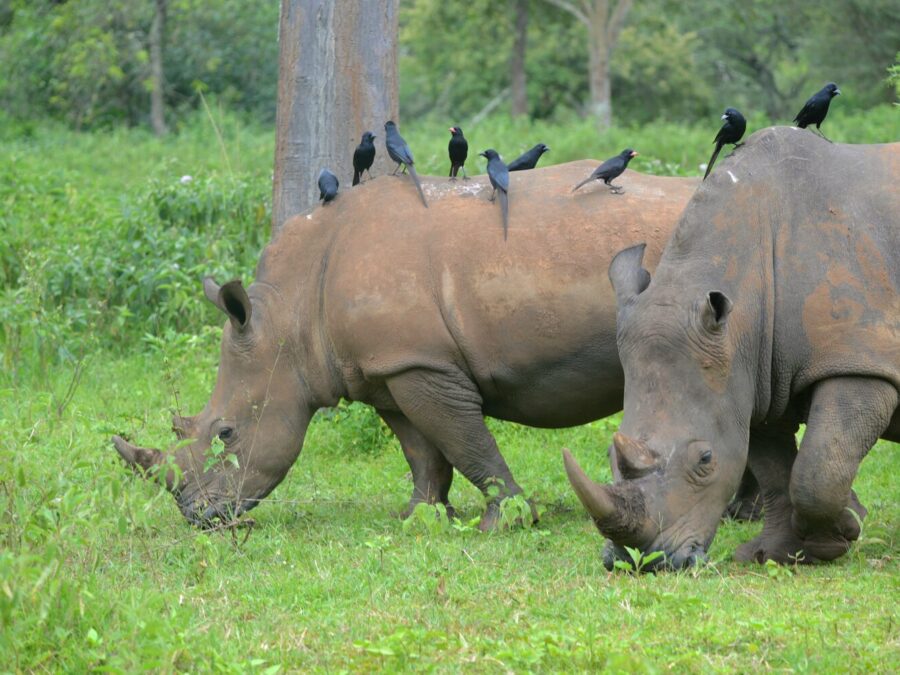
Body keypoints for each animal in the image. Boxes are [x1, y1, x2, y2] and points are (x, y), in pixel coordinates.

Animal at [113, 161, 696, 529]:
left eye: (227, 432)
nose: (196, 516)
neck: (289, 317)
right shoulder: (387, 368)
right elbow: (424, 453)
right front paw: (420, 520)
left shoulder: (422, 364)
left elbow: (467, 443)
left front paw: (506, 522)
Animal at [563, 129, 899, 569]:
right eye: (607, 455)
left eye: (705, 460)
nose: (646, 562)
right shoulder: (755, 377)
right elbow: (775, 472)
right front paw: (773, 554)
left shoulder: (858, 360)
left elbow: (817, 468)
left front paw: (841, 532)